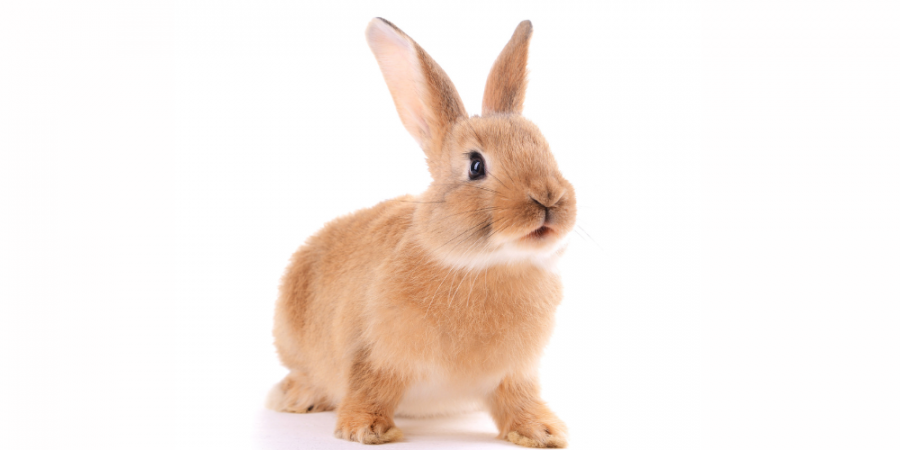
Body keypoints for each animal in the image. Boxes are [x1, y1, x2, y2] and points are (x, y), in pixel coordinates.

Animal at [268, 17, 576, 448]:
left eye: (546, 149)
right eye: (476, 165)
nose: (548, 198)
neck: (483, 265)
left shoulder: (515, 374)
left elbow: (519, 400)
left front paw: (542, 431)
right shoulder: (373, 353)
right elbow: (368, 388)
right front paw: (365, 429)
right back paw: (297, 398)